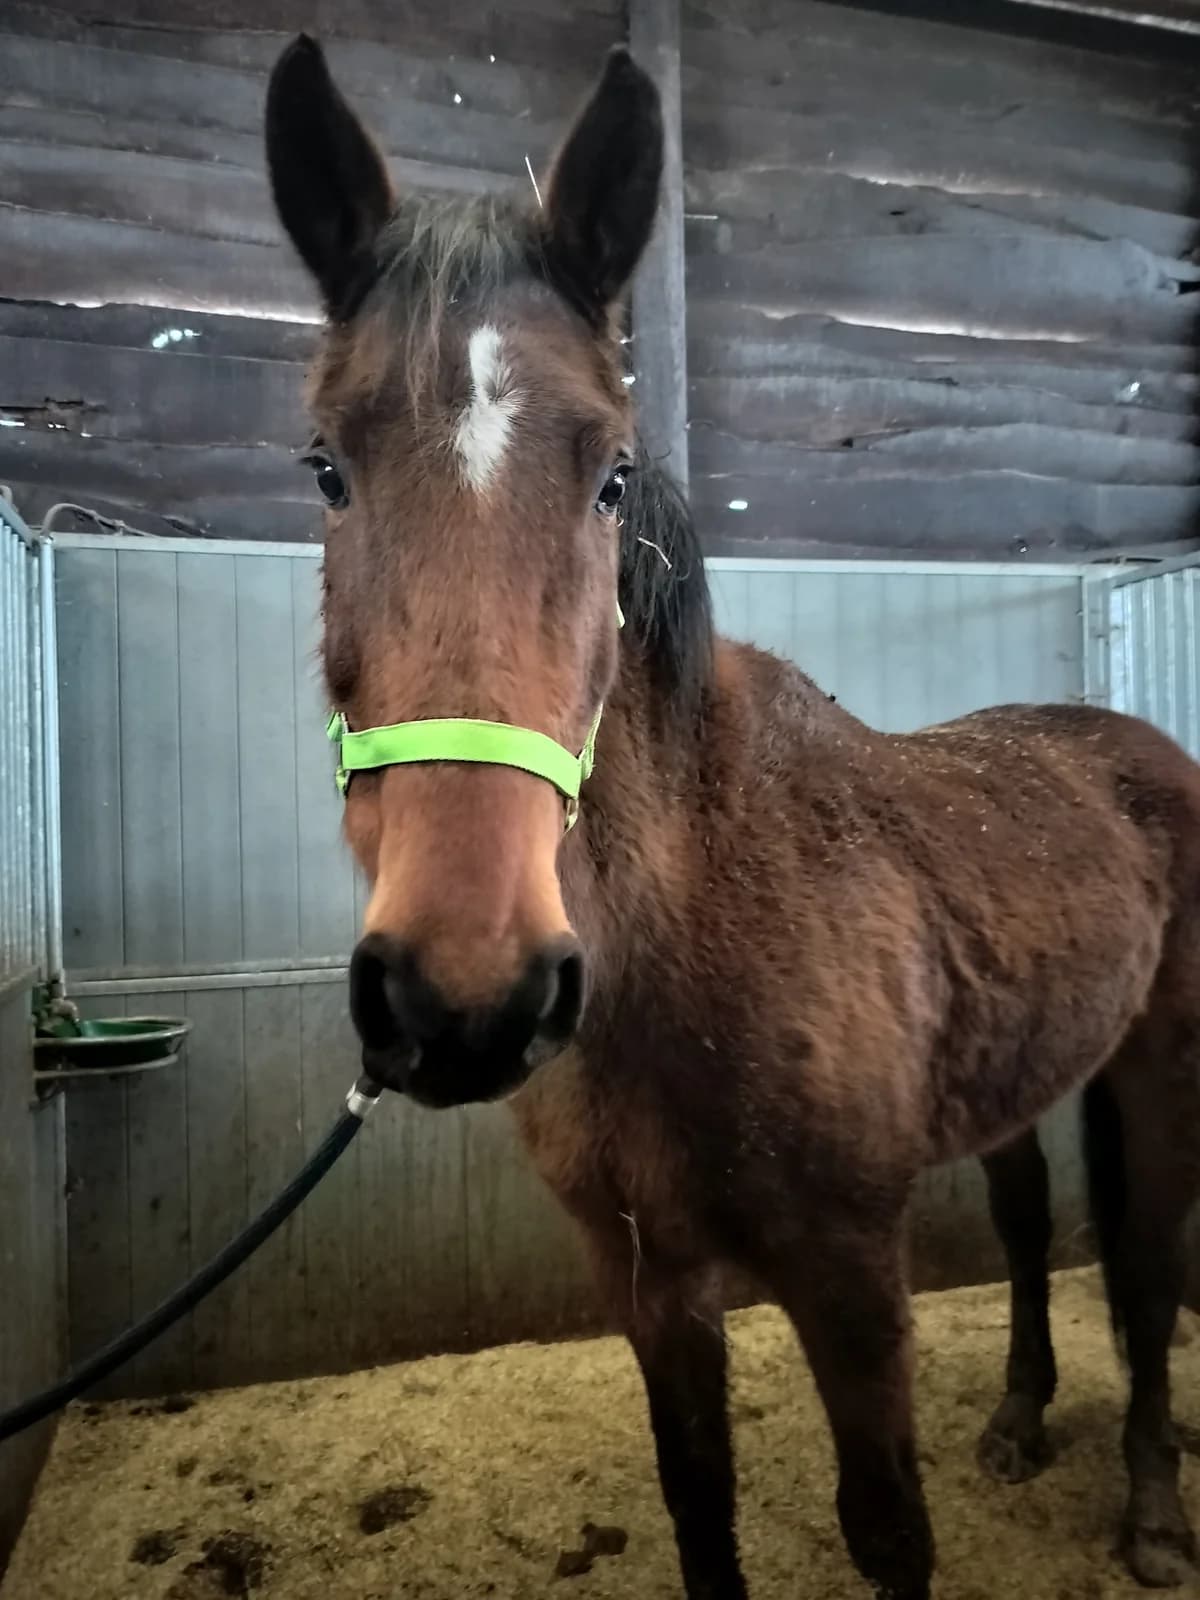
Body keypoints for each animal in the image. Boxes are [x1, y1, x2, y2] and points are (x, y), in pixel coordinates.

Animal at [264, 37, 1200, 1599]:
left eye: (611, 475)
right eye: (327, 467)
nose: (465, 994)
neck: (695, 927)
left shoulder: (851, 1276)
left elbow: (889, 1528)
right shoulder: (650, 1283)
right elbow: (700, 1510)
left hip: (1157, 1062)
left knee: (1143, 1260)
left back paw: (1148, 1506)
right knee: (1025, 1222)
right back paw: (1020, 1419)